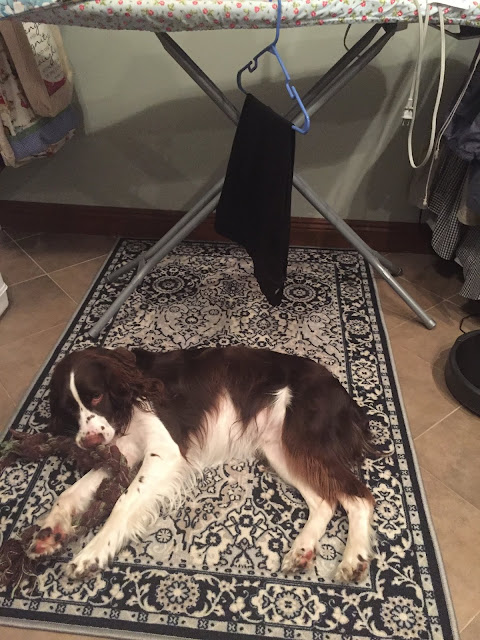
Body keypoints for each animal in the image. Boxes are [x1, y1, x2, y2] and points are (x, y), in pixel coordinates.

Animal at [28, 345, 376, 582]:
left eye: (97, 397)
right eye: (68, 409)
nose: (88, 443)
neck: (130, 390)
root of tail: (345, 396)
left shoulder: (164, 452)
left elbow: (123, 502)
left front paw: (91, 554)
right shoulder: (120, 449)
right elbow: (69, 493)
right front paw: (48, 532)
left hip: (303, 441)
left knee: (359, 497)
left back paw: (353, 561)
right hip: (280, 449)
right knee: (324, 501)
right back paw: (302, 552)